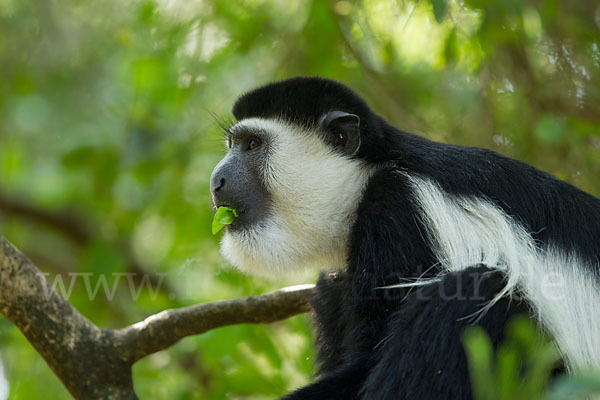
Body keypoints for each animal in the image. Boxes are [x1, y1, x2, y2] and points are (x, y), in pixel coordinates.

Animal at [210, 76, 600, 398]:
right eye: (232, 143)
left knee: (475, 292)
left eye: (252, 144)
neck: (368, 175)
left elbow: (368, 360)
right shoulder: (335, 283)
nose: (216, 180)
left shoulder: (399, 207)